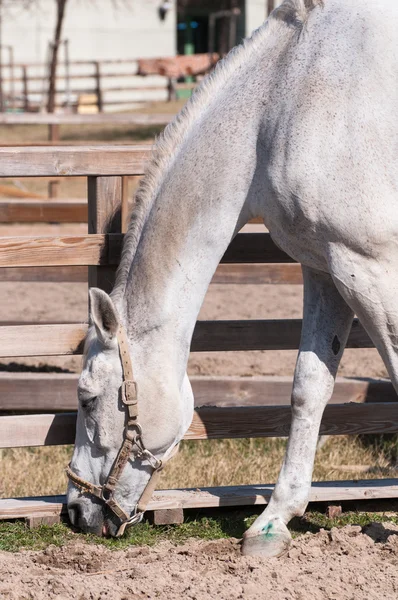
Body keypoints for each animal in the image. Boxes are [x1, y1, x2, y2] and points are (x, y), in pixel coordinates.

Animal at [67, 0, 396, 556]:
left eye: (88, 398)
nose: (73, 512)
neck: (288, 94)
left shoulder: (370, 267)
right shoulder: (326, 269)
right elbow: (309, 388)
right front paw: (272, 522)